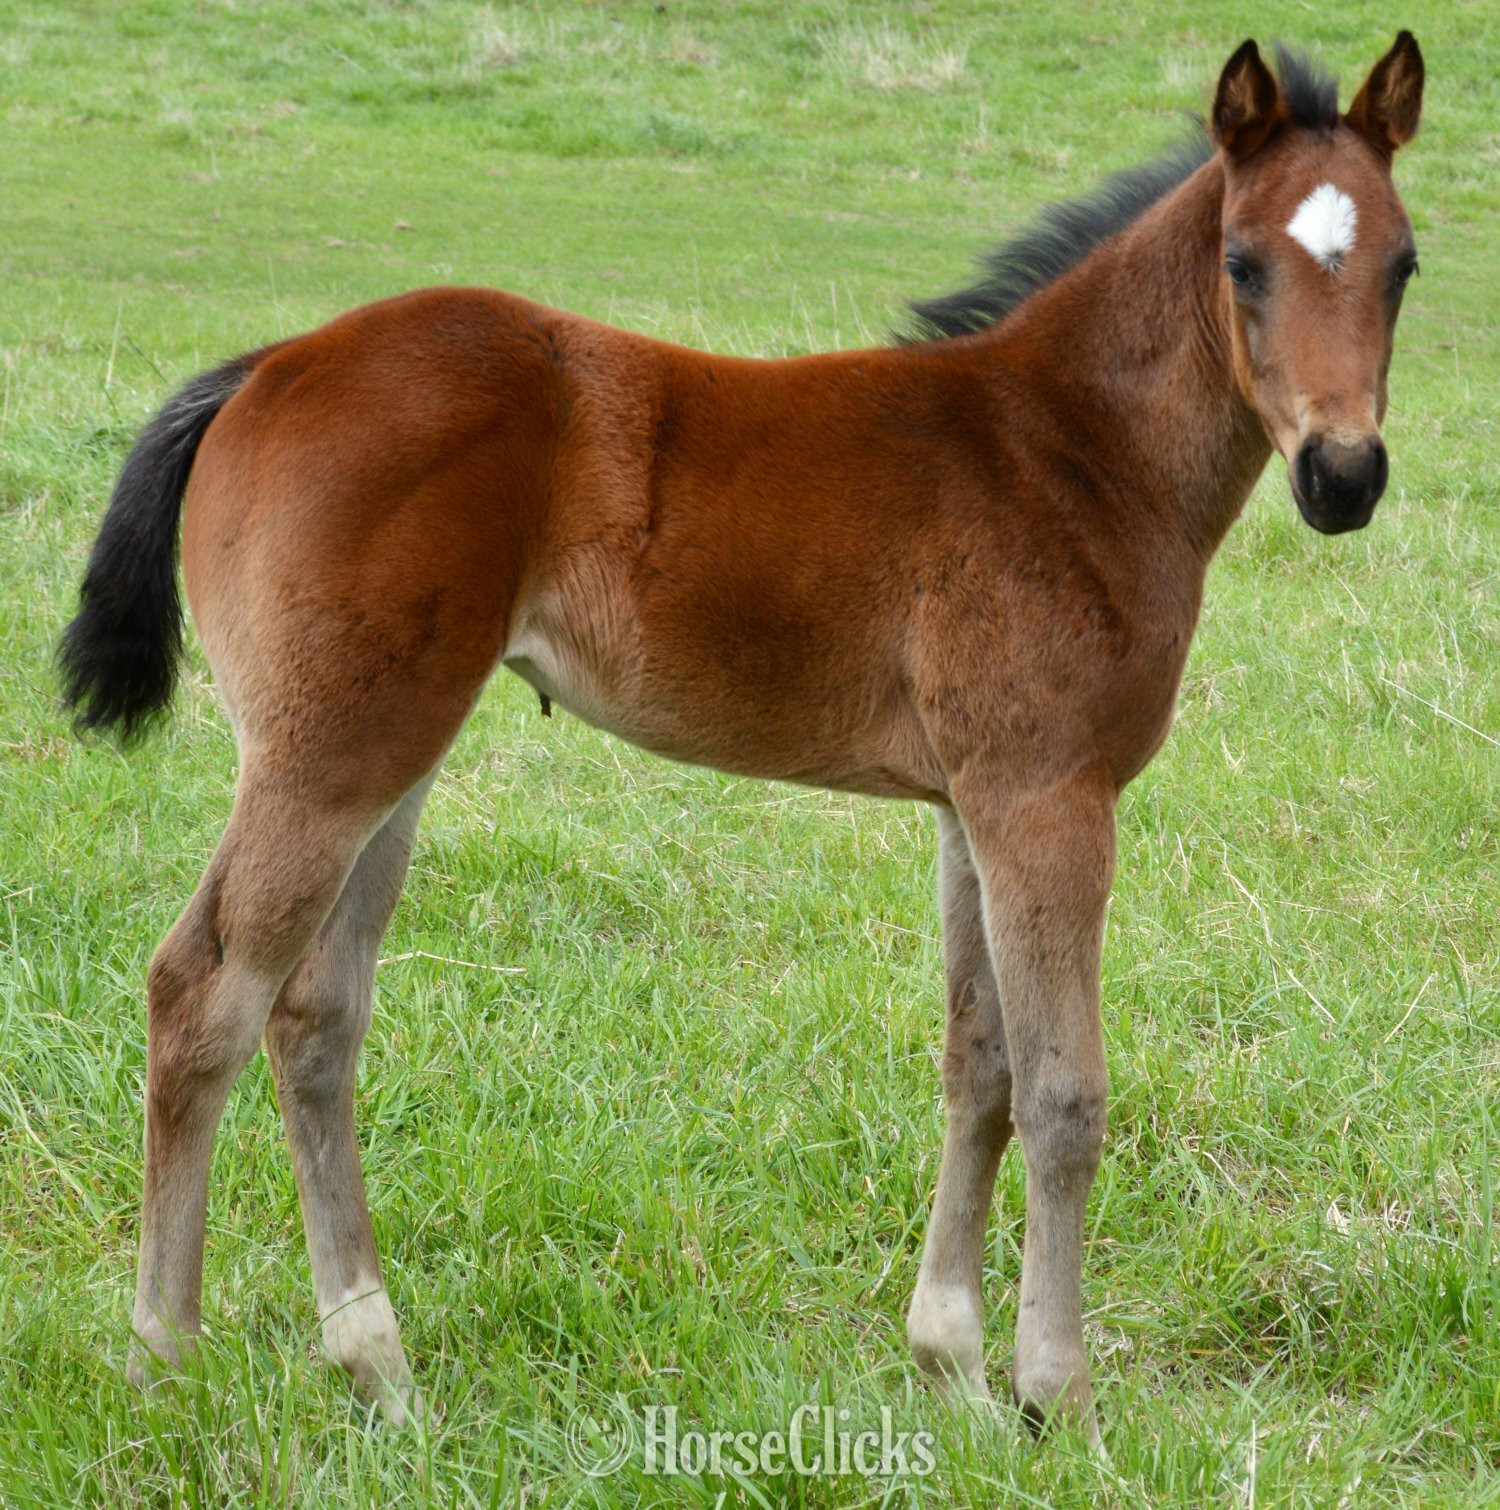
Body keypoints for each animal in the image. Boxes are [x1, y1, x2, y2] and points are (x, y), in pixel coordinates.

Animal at [58, 33, 1424, 1440]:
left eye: (1404, 264)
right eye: (1242, 262)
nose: (1344, 476)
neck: (1065, 452)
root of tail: (266, 365)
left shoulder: (972, 803)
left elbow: (979, 1066)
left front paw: (953, 1366)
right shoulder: (1050, 795)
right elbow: (1063, 1092)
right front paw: (1061, 1398)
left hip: (391, 758)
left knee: (314, 1018)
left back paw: (377, 1367)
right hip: (326, 762)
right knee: (202, 994)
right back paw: (162, 1352)